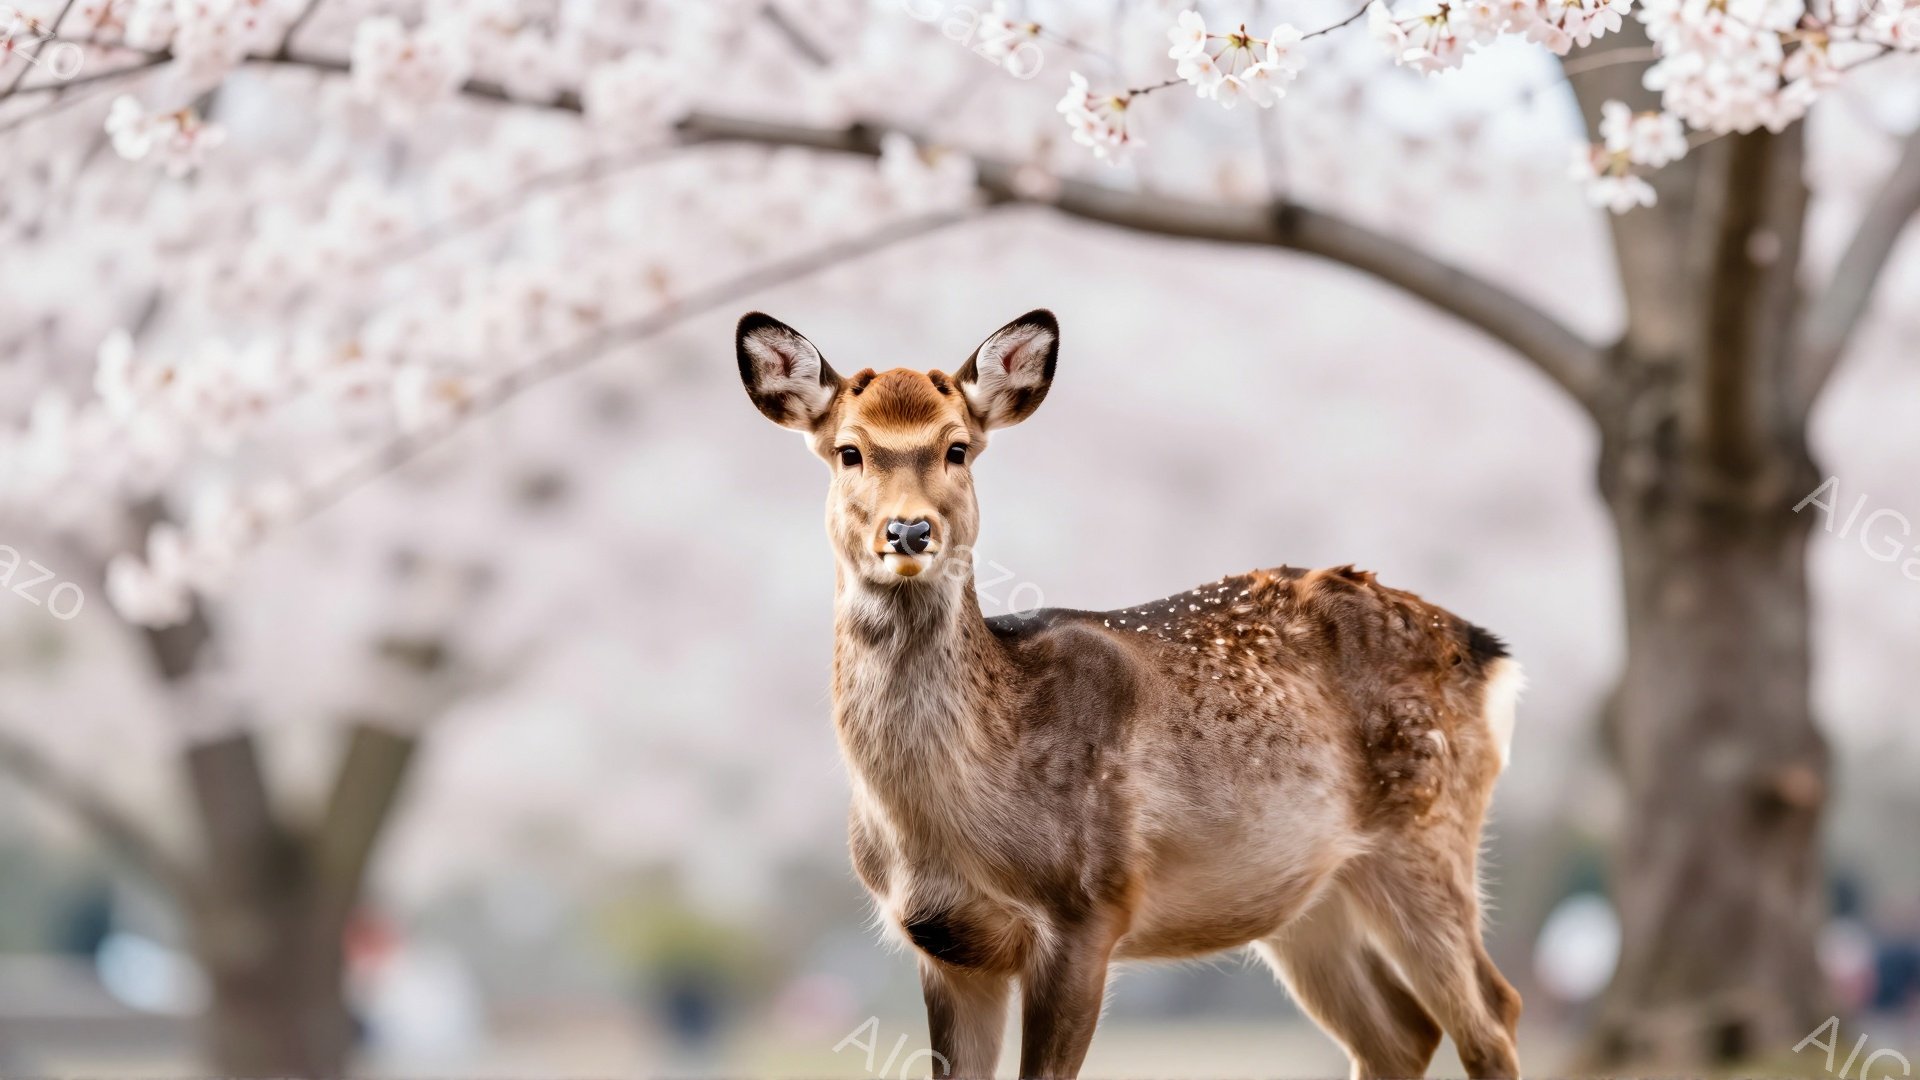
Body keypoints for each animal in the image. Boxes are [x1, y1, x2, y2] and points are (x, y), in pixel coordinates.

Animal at [734, 309, 1526, 1080]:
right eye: (849, 452)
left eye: (958, 448)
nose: (908, 530)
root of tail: (1490, 653)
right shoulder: (944, 943)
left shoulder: (1088, 908)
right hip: (1310, 895)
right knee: (1400, 1033)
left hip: (1426, 829)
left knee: (1492, 1014)